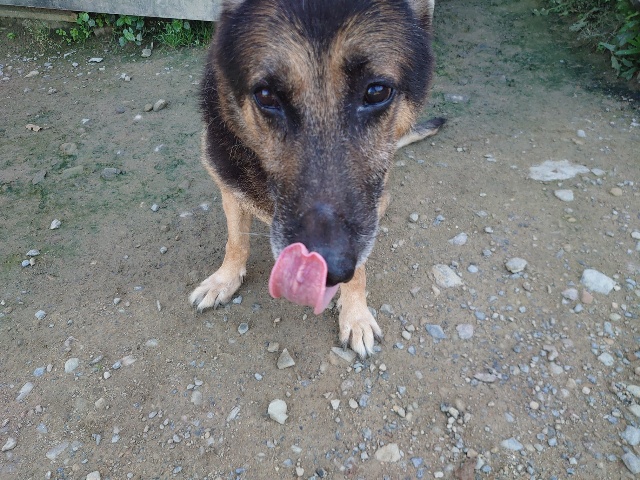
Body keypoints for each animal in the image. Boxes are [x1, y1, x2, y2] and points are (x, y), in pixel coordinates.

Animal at [190, 0, 444, 358]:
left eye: (377, 91)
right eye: (266, 95)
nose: (322, 271)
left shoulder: (364, 212)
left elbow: (360, 267)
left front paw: (355, 315)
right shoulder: (229, 185)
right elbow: (236, 241)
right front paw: (223, 280)